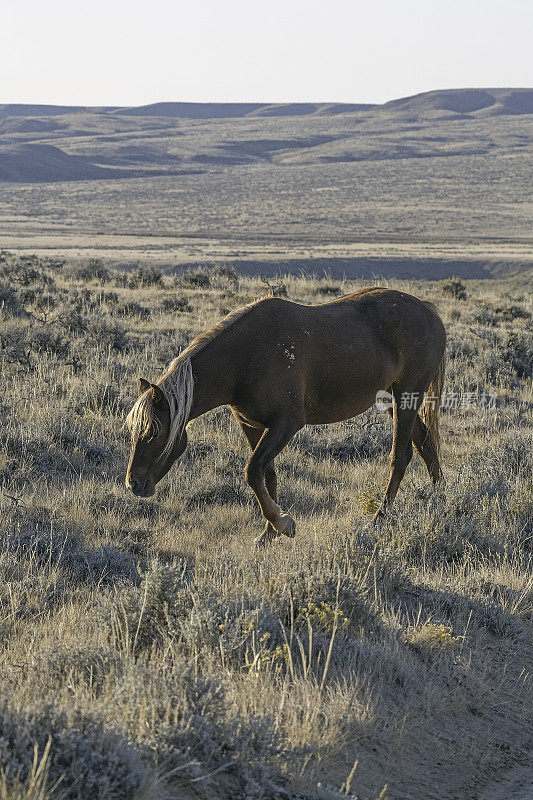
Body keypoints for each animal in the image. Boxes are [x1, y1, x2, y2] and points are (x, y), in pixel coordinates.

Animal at [124, 288, 444, 544]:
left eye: (154, 432)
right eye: (133, 432)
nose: (133, 484)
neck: (244, 358)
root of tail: (426, 308)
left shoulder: (286, 425)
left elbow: (252, 471)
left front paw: (283, 523)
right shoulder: (252, 425)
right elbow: (266, 475)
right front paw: (269, 532)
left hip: (406, 398)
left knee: (400, 456)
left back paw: (379, 518)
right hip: (394, 400)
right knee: (426, 445)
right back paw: (441, 500)